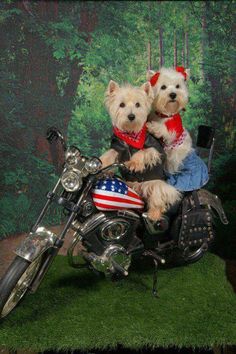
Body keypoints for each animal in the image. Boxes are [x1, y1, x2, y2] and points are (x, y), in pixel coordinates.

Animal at [100, 80, 181, 221]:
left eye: (138, 104)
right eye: (121, 104)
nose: (131, 116)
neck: (131, 133)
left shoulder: (154, 148)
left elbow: (142, 152)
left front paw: (133, 163)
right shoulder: (118, 145)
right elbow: (109, 153)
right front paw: (100, 163)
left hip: (157, 186)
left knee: (158, 200)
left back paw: (153, 214)